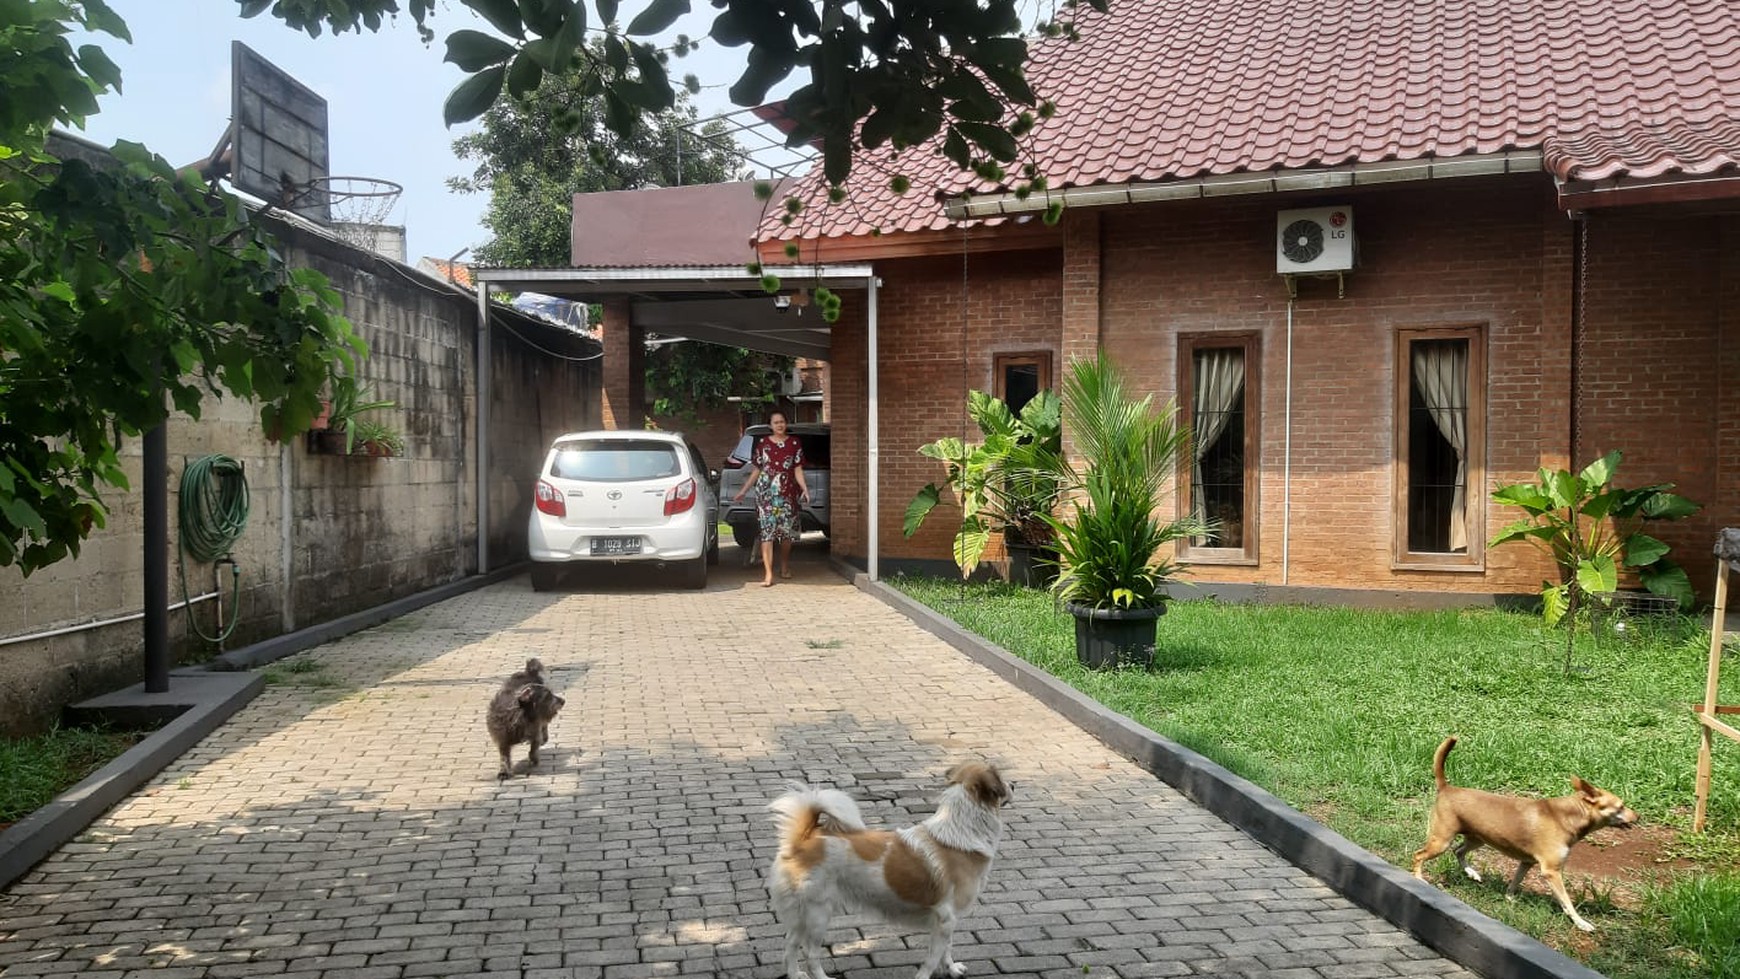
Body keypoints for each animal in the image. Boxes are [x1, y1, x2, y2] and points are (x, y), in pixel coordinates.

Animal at [769, 765, 1016, 979]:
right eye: (1001, 779)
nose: (1014, 784)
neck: (960, 833)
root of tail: (802, 839)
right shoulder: (945, 916)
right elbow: (932, 958)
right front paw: (924, 976)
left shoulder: (948, 920)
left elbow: (947, 948)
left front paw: (952, 969)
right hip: (818, 913)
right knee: (810, 954)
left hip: (800, 913)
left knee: (789, 945)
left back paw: (794, 974)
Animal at [1405, 737, 1635, 932]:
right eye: (1621, 806)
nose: (1638, 815)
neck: (1569, 815)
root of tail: (1447, 788)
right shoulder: (1552, 871)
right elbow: (1567, 902)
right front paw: (1581, 922)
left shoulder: (1526, 862)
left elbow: (1515, 882)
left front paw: (1509, 898)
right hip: (1441, 841)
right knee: (1419, 855)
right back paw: (1419, 878)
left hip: (1477, 839)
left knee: (1459, 850)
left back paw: (1472, 873)